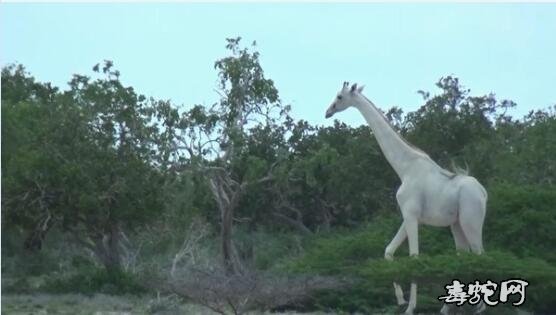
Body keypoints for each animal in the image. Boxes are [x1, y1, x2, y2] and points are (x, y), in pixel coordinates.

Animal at [326, 81, 486, 260]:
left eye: (339, 96)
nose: (328, 112)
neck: (405, 168)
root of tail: (483, 193)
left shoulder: (411, 212)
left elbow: (414, 254)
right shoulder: (409, 215)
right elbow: (388, 251)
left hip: (470, 220)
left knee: (479, 251)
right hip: (456, 223)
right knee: (465, 251)